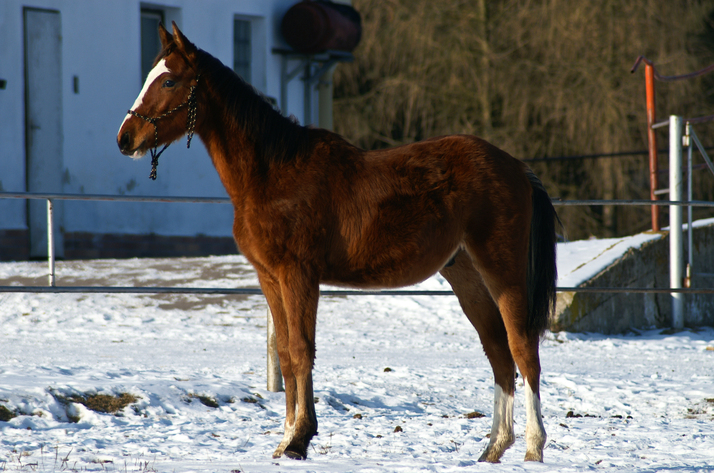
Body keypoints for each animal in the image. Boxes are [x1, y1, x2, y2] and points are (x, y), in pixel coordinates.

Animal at [117, 22, 559, 463]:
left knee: (523, 350)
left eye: (169, 80)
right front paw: (285, 440)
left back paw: (533, 447)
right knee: (499, 353)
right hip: (467, 277)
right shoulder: (270, 279)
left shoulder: (299, 275)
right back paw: (493, 448)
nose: (125, 138)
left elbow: (301, 350)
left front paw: (300, 439)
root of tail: (517, 167)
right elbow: (285, 354)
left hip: (503, 272)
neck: (273, 173)